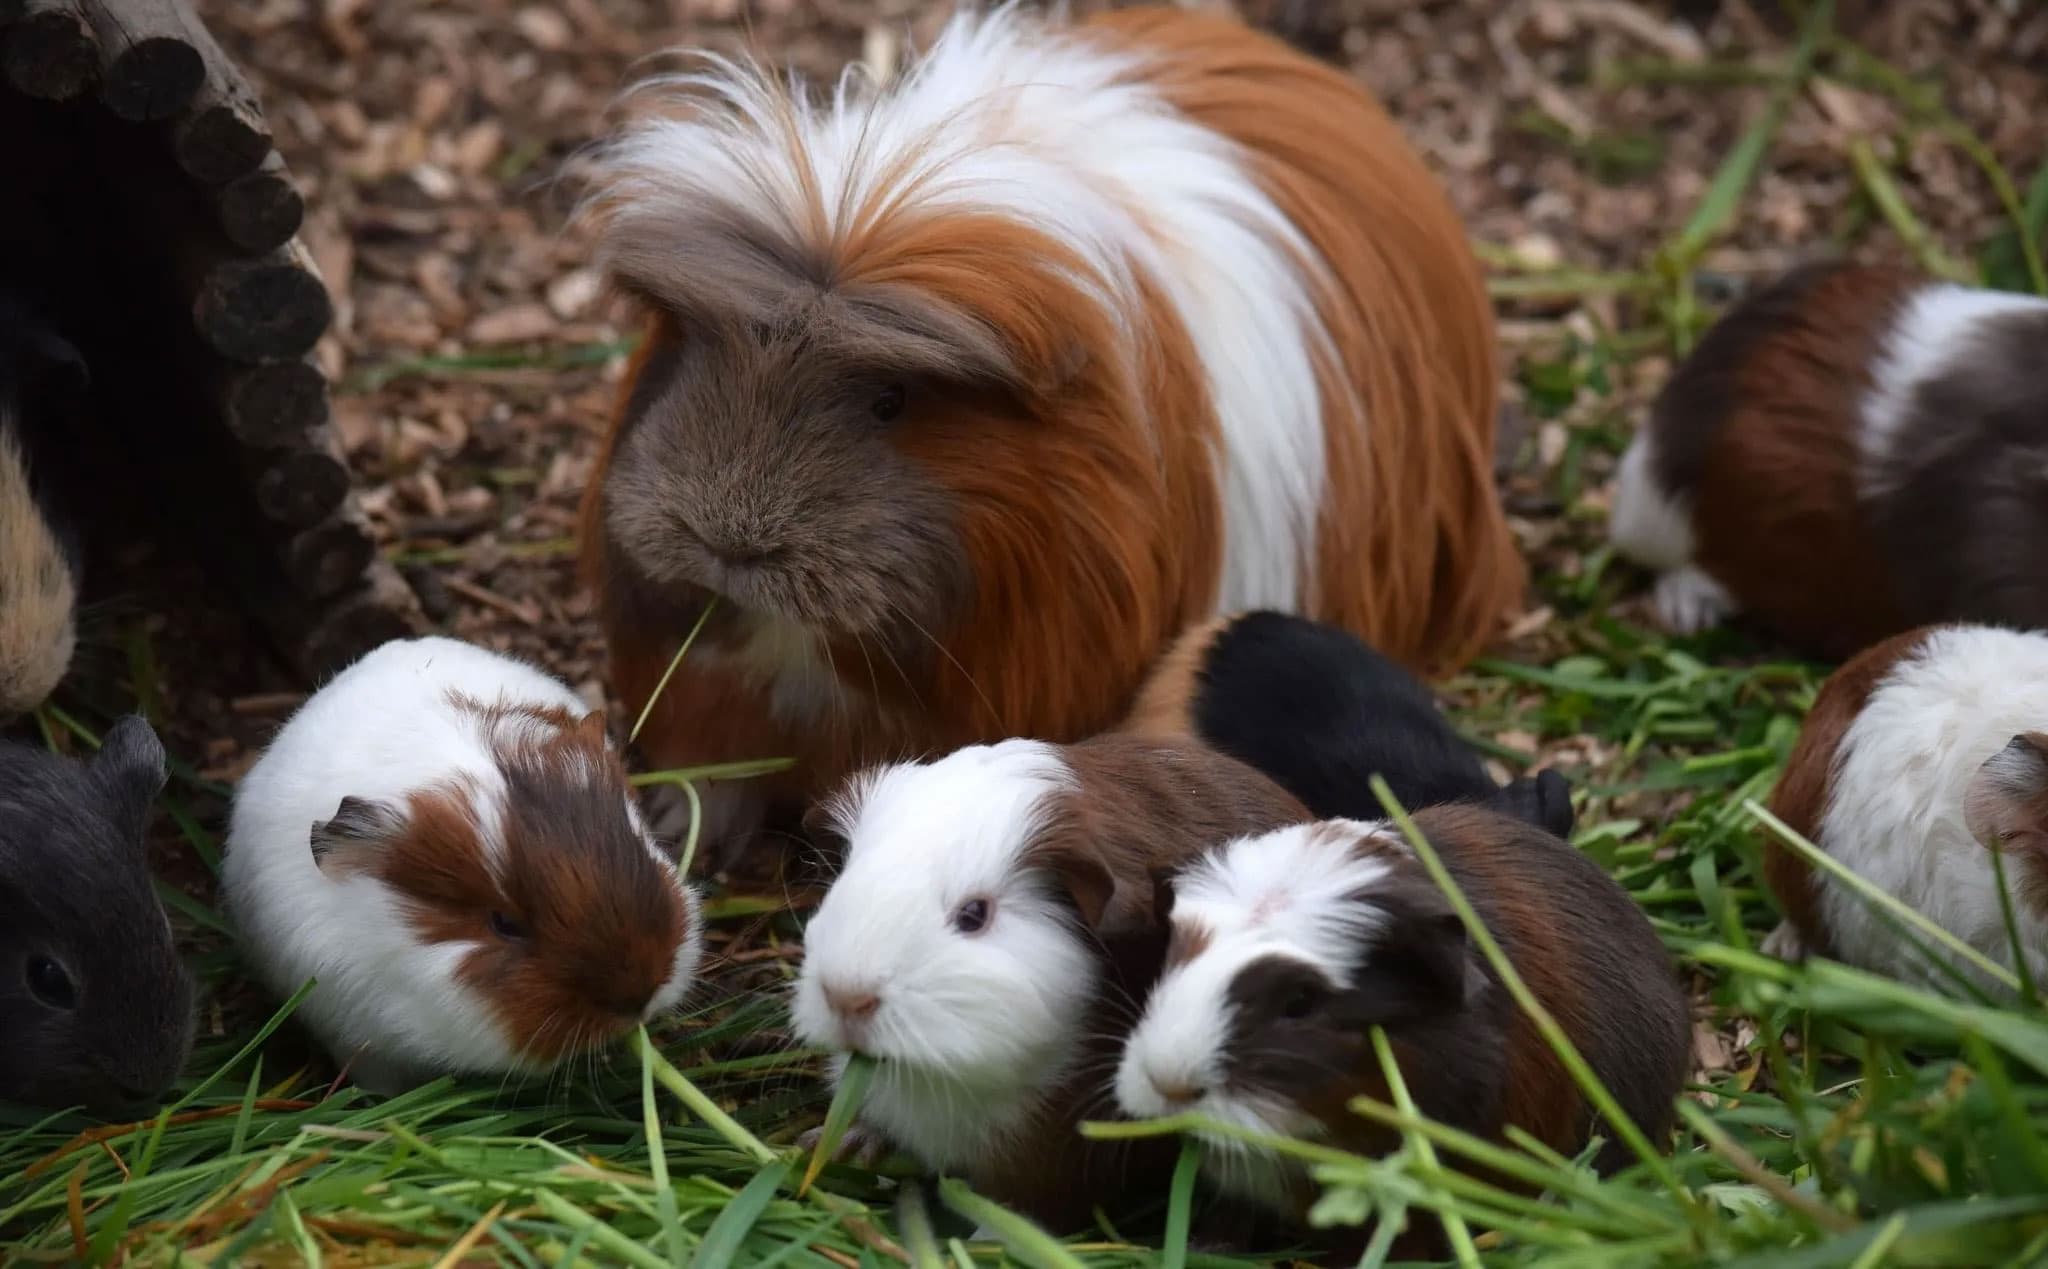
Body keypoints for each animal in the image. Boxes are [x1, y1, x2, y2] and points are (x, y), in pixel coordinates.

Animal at [790, 733, 1312, 1232]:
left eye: (975, 914)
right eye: (842, 883)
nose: (845, 996)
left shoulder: (1056, 1154)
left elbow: (1017, 1213)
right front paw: (837, 1144)